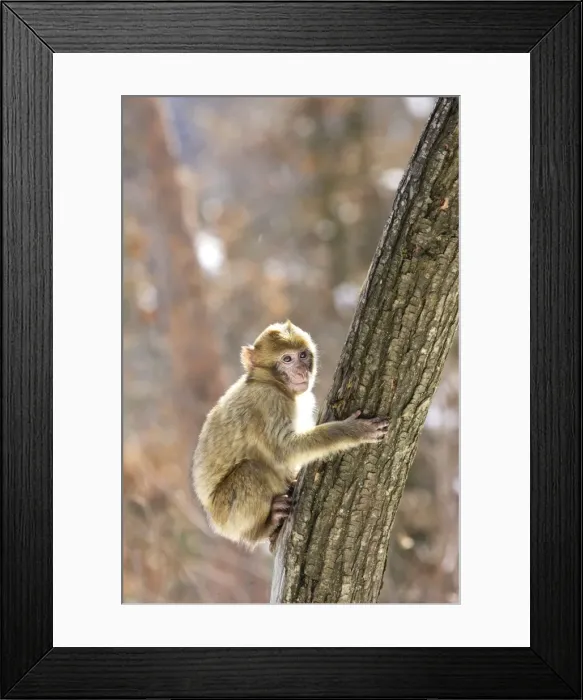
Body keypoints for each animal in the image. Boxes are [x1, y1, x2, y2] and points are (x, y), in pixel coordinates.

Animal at [191, 320, 389, 552]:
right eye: (287, 359)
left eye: (303, 355)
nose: (302, 372)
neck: (270, 382)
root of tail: (214, 520)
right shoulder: (268, 402)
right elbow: (285, 450)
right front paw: (353, 431)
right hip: (228, 516)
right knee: (251, 470)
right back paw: (263, 528)